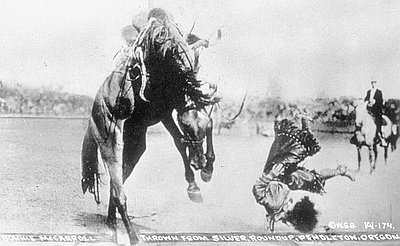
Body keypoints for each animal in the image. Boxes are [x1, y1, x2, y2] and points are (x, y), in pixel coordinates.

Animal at [80, 8, 220, 246]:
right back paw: (131, 237)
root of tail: (92, 117)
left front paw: (202, 176)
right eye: (162, 42)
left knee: (116, 188)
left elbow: (187, 137)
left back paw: (111, 225)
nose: (199, 162)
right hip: (111, 145)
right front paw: (198, 180)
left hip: (135, 148)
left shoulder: (166, 114)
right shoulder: (165, 112)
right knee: (119, 192)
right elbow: (181, 140)